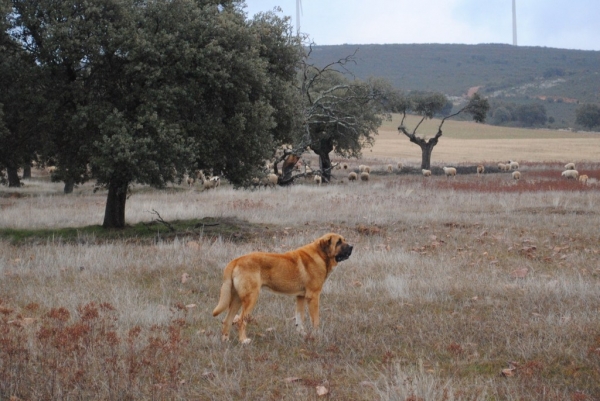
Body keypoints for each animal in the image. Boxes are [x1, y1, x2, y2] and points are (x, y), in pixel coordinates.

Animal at [213, 233, 352, 342]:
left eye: (344, 240)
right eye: (338, 242)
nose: (352, 247)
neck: (321, 255)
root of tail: (236, 260)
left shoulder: (300, 297)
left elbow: (299, 318)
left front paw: (302, 334)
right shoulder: (313, 296)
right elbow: (315, 320)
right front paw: (317, 335)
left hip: (237, 299)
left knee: (227, 320)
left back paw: (225, 339)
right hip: (251, 298)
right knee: (241, 320)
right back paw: (243, 340)